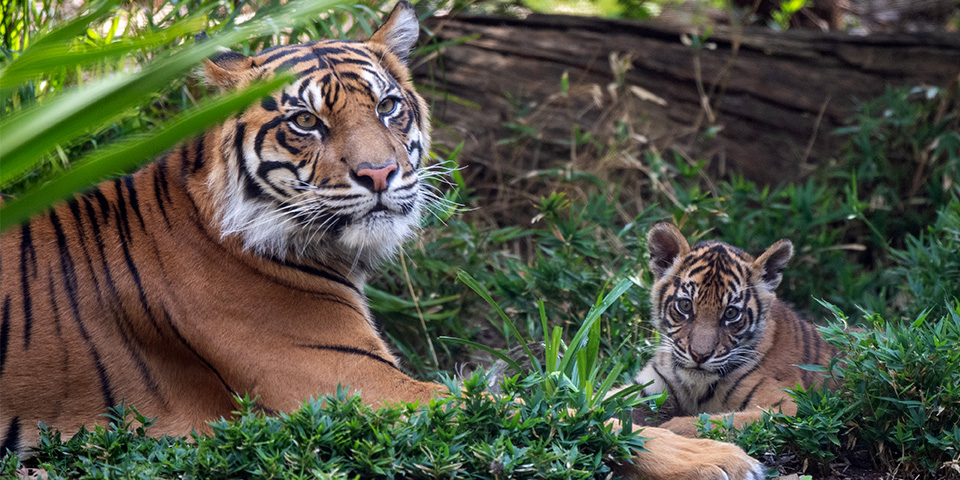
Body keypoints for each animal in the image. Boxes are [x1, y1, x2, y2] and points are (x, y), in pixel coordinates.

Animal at [0, 3, 764, 478]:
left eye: (390, 107)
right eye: (305, 122)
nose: (377, 173)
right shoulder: (356, 386)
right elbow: (543, 411)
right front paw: (717, 459)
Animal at [627, 222, 837, 437]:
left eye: (731, 313)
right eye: (685, 305)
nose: (700, 355)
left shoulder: (785, 405)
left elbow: (719, 421)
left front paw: (669, 428)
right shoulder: (647, 387)